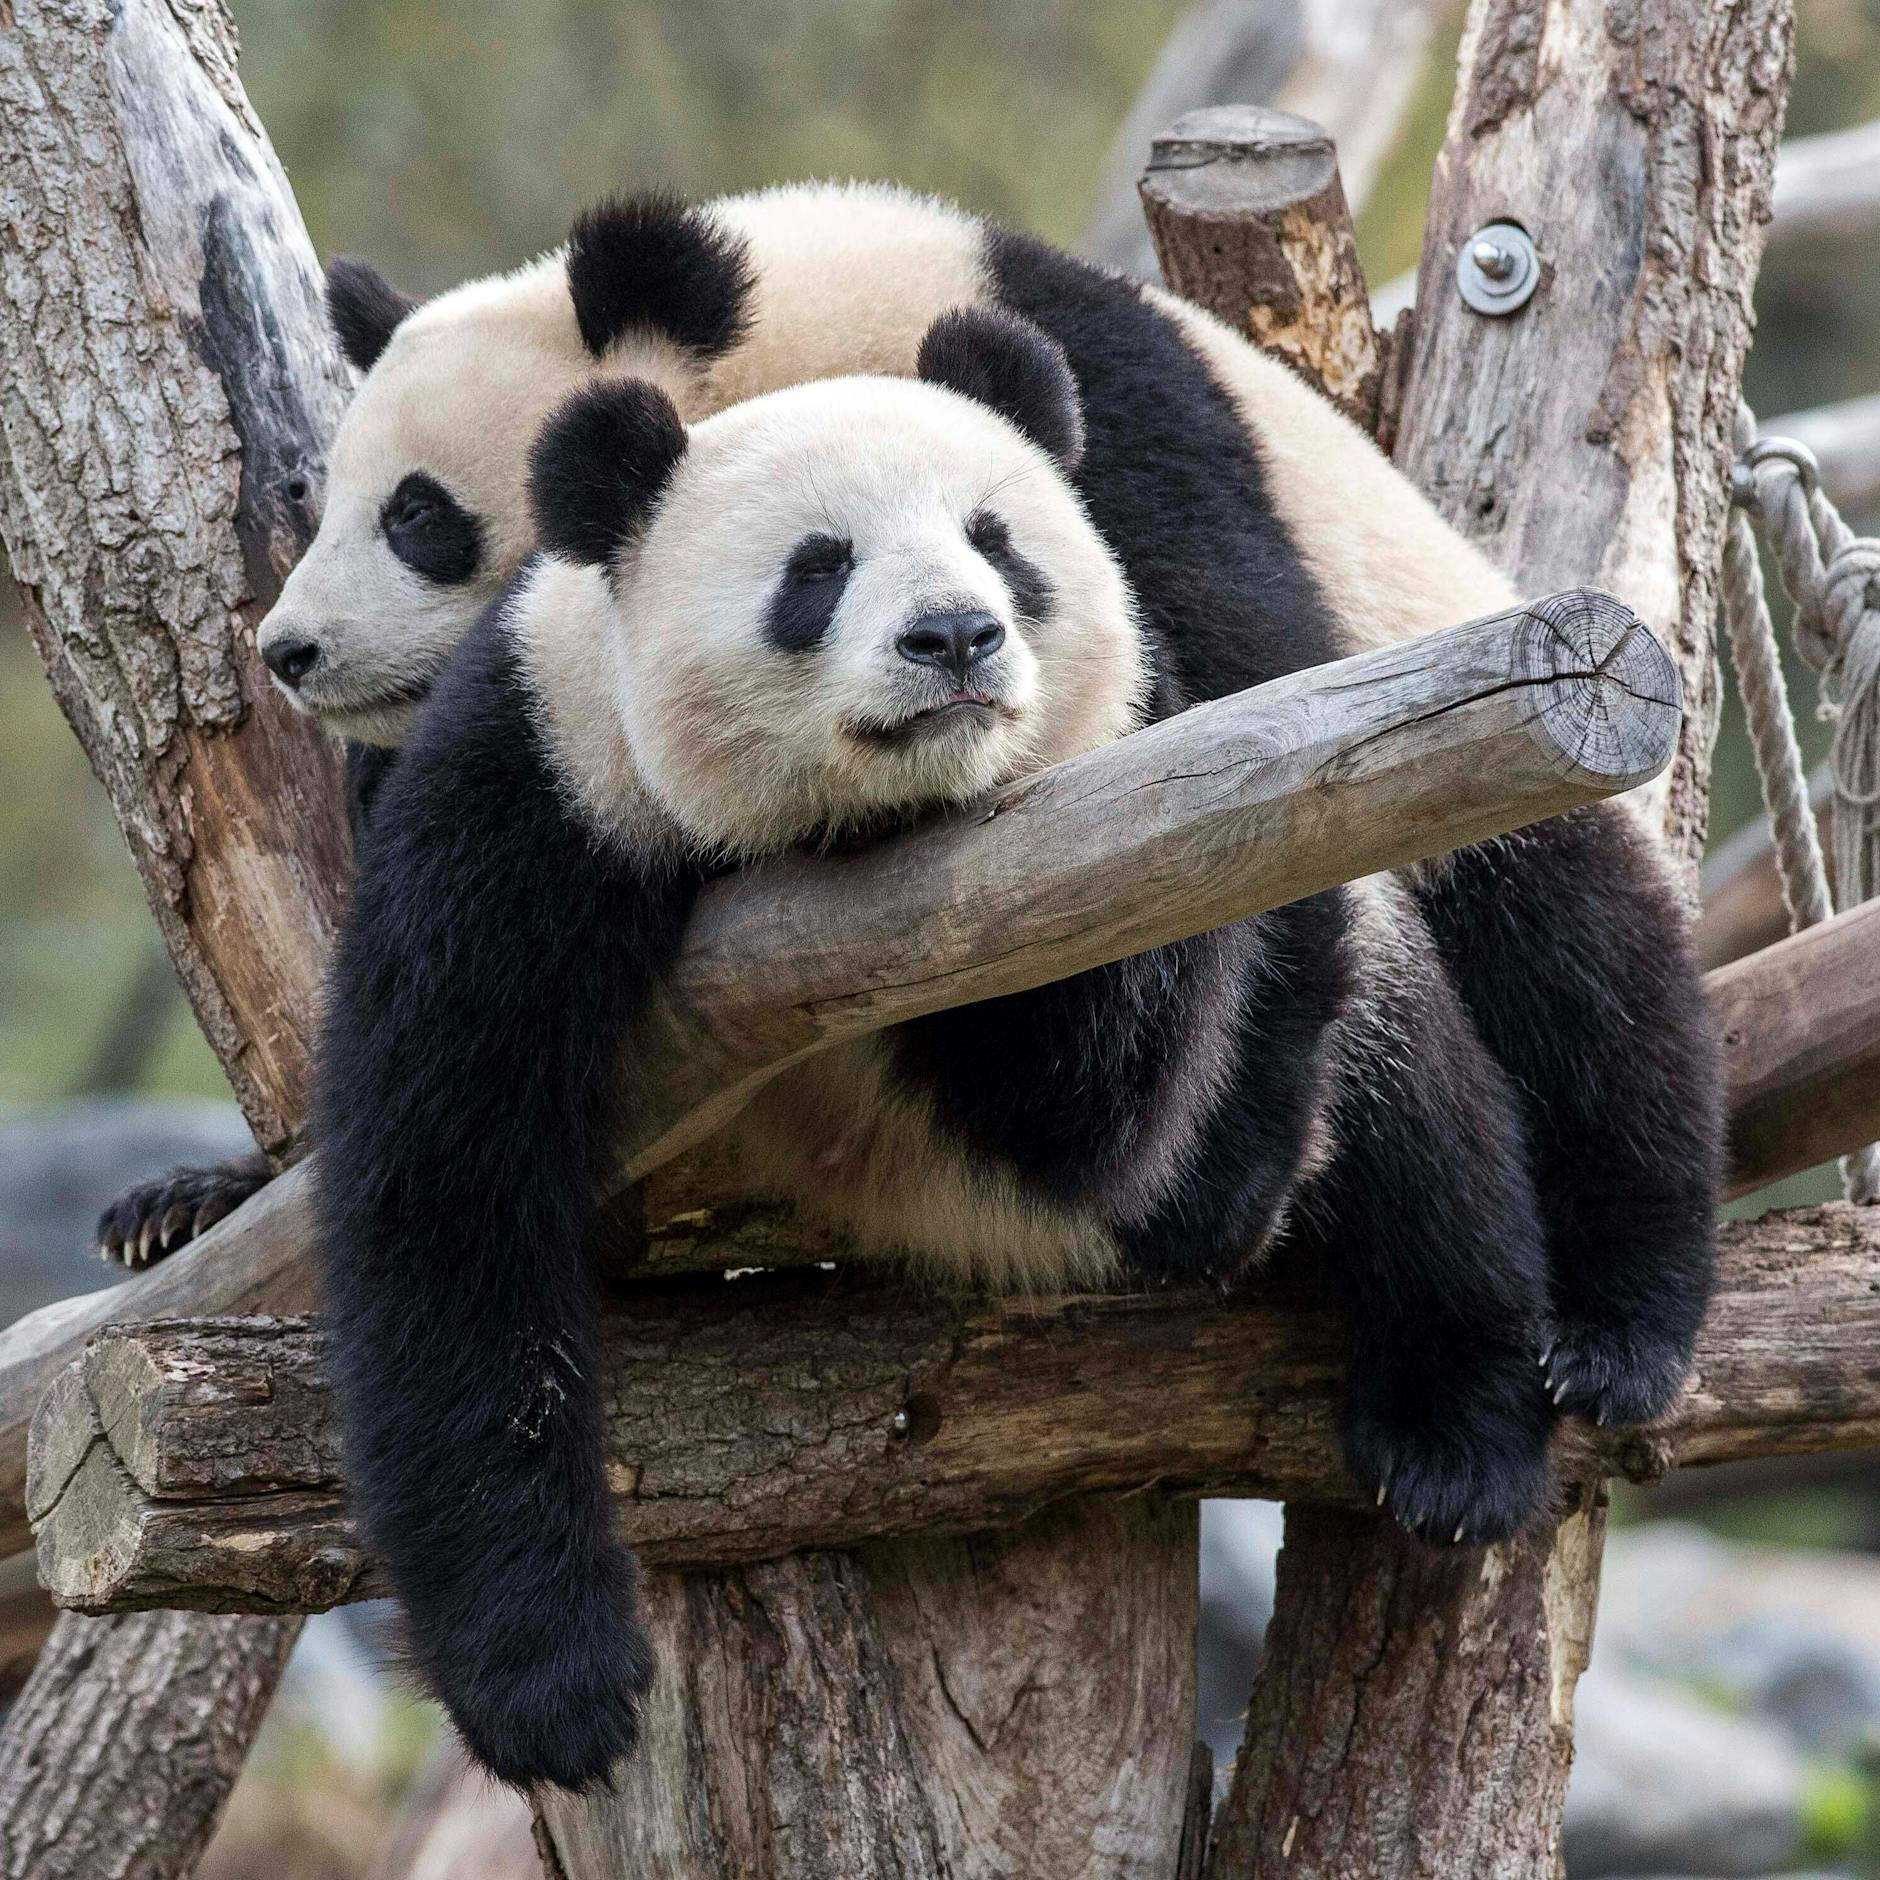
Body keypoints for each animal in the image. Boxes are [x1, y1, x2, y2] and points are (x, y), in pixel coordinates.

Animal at [110, 191, 1719, 1443]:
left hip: (1479, 683)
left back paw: (1589, 1336)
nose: (291, 651)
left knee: (1570, 962)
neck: (812, 359)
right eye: (315, 492)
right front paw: (213, 1184)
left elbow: (1241, 741)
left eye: (418, 516)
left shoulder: (1121, 446)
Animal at [317, 306, 1574, 1792]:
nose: (956, 636)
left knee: (1401, 1111)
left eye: (997, 539)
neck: (854, 830)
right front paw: (552, 1693)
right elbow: (452, 1189)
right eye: (817, 569)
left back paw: (1456, 1428)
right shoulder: (539, 780)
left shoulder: (1103, 801)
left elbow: (1107, 1107)